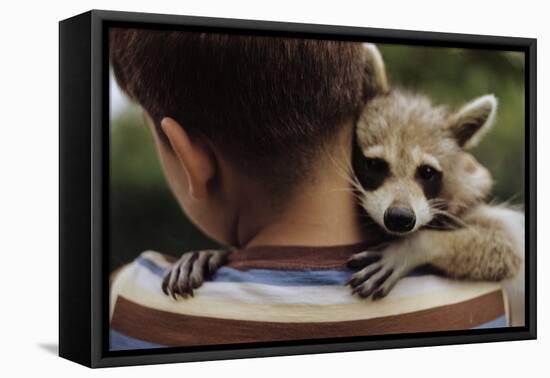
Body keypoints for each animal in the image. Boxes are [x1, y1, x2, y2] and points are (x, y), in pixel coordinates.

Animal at [348, 44, 524, 300]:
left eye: (427, 172)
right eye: (375, 165)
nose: (399, 218)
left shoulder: (470, 197)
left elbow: (506, 246)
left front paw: (413, 246)